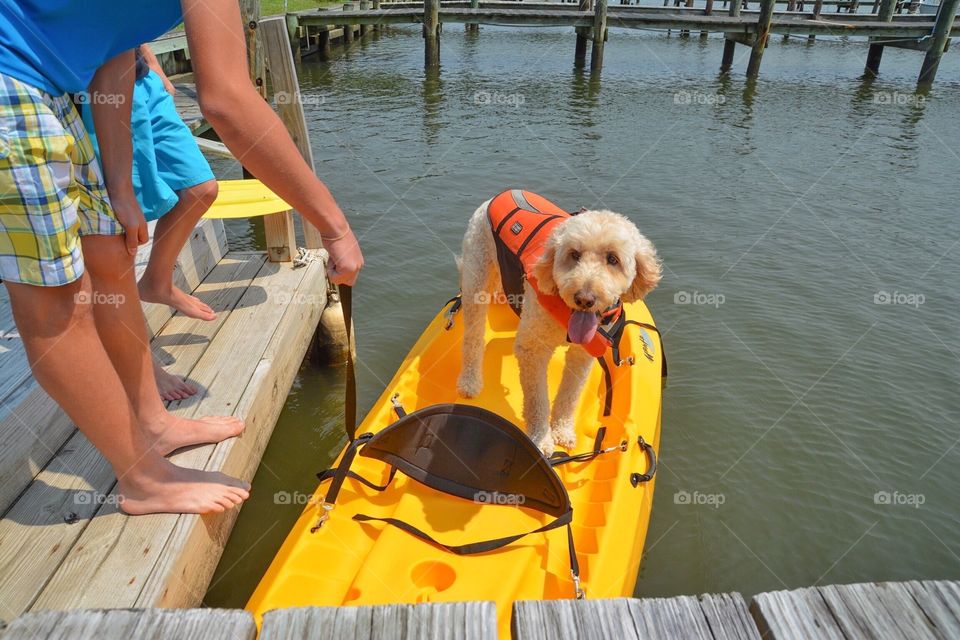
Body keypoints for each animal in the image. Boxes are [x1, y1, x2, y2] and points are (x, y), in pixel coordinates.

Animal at [458, 190, 660, 456]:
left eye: (613, 259)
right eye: (574, 254)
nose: (585, 298)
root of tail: (501, 193)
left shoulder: (583, 354)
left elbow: (569, 395)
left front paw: (562, 431)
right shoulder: (533, 350)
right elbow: (537, 400)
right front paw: (542, 439)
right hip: (476, 277)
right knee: (472, 337)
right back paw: (469, 382)